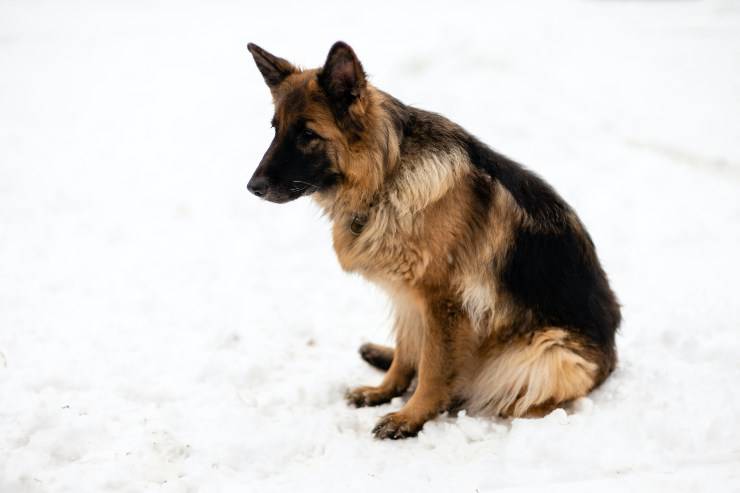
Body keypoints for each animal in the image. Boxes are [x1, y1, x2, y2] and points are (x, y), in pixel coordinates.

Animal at [246, 41, 620, 438]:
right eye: (275, 129)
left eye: (307, 135)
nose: (252, 187)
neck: (387, 177)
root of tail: (612, 359)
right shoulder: (408, 296)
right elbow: (409, 352)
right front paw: (385, 391)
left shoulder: (443, 300)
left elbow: (433, 368)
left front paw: (410, 417)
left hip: (549, 353)